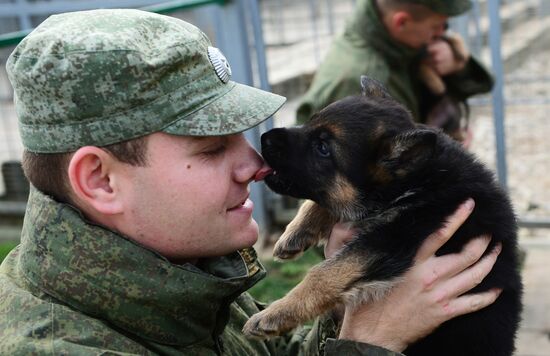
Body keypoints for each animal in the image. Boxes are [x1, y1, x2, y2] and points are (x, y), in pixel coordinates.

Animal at [245, 76, 520, 354]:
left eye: (322, 148)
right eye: (309, 123)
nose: (264, 138)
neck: (417, 179)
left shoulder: (394, 237)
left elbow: (323, 273)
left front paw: (275, 314)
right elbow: (321, 203)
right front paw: (295, 232)